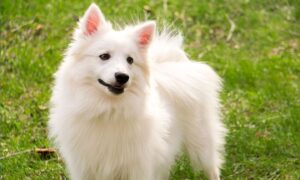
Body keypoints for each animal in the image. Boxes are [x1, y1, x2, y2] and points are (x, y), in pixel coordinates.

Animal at [48, 3, 226, 180]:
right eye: (104, 56)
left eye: (130, 60)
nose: (122, 77)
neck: (108, 109)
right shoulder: (84, 168)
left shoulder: (138, 166)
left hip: (201, 142)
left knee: (212, 167)